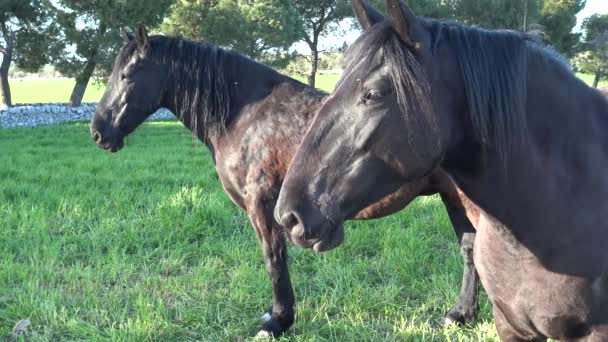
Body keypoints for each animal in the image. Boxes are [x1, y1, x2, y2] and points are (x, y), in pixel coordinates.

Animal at [89, 26, 480, 336]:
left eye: (126, 75)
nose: (99, 132)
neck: (245, 116)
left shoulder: (261, 204)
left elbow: (274, 258)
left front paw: (277, 321)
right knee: (469, 248)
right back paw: (461, 315)